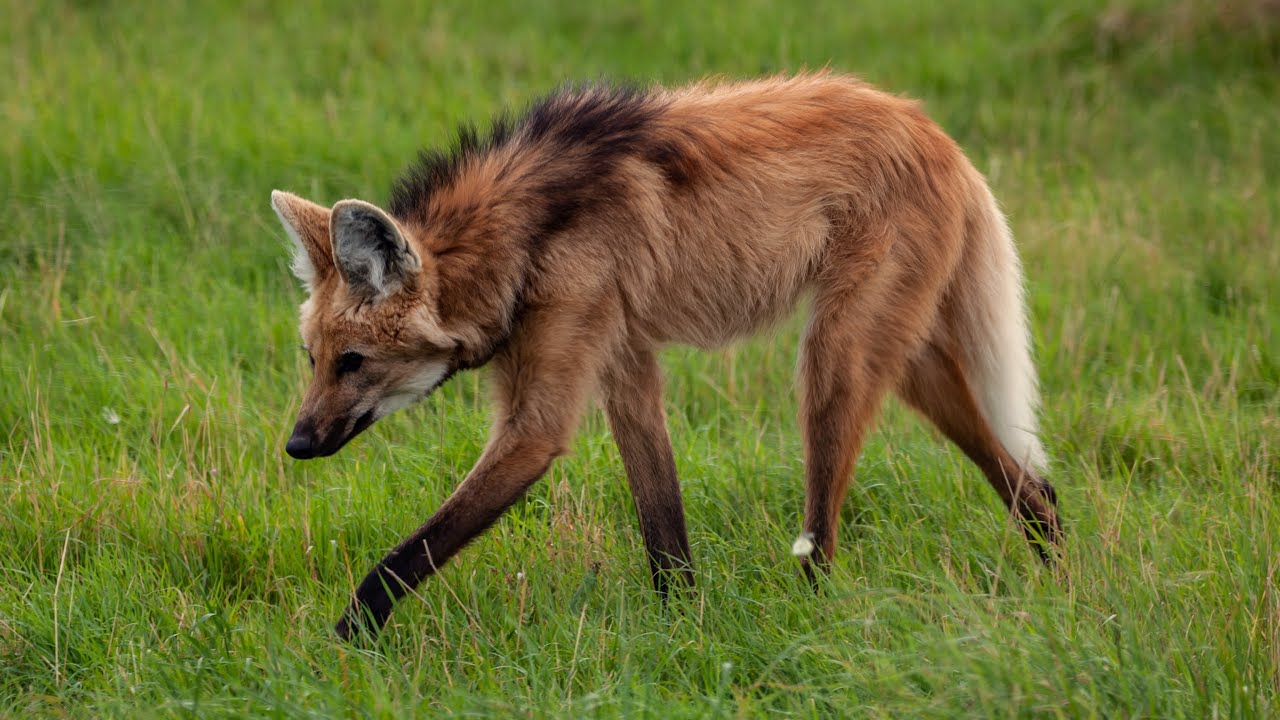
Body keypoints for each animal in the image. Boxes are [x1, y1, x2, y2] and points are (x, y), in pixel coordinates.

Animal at [269, 73, 1061, 640]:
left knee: (826, 533)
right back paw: (1059, 582)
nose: (296, 445)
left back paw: (814, 622)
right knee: (1030, 481)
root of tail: (933, 131)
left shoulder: (539, 421)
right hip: (909, 359)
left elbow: (404, 557)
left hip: (835, 360)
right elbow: (663, 529)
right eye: (312, 359)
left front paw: (341, 646)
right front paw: (683, 628)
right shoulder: (624, 361)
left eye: (353, 361)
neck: (522, 241)